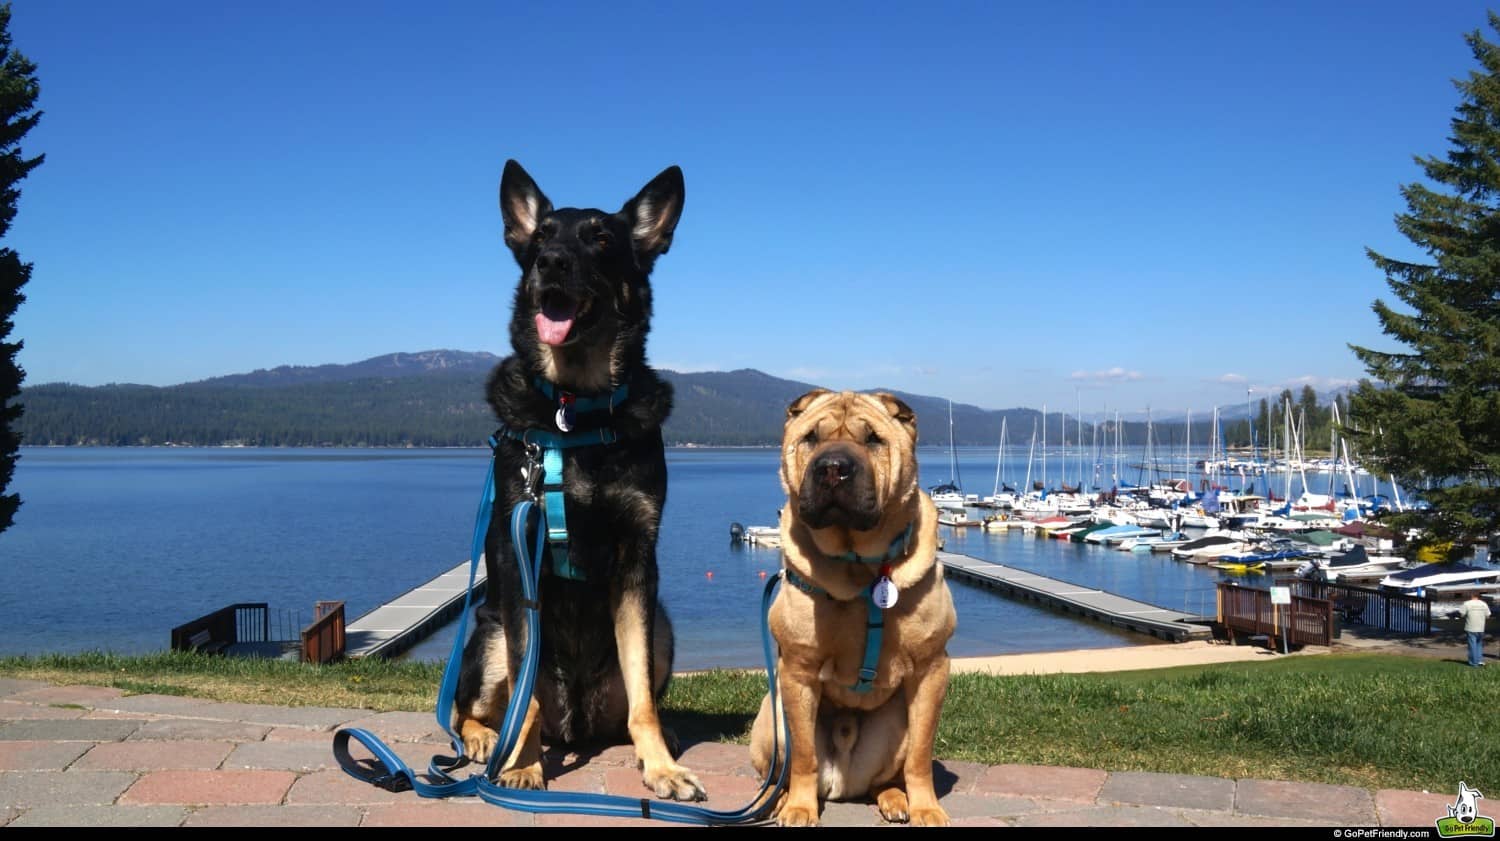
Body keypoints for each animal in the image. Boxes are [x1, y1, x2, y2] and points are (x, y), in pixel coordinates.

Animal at [450, 158, 702, 797]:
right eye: (541, 237)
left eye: (601, 239)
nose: (551, 262)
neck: (576, 407)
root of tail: (577, 720)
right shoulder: (519, 558)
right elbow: (524, 693)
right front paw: (519, 764)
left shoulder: (638, 558)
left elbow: (644, 700)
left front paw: (661, 766)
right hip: (487, 630)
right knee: (475, 709)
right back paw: (487, 741)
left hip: (662, 624)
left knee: (633, 703)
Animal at [750, 389, 960, 821]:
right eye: (811, 437)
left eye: (873, 439)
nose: (833, 468)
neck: (860, 569)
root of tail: (841, 784)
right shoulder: (798, 671)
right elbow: (804, 756)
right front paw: (800, 808)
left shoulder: (931, 668)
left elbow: (920, 755)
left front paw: (927, 809)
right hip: (771, 716)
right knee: (781, 769)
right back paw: (777, 800)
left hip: (894, 724)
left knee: (885, 777)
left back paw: (895, 800)